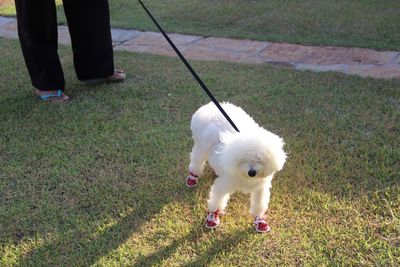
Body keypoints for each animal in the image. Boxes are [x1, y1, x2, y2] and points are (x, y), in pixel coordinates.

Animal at [186, 101, 286, 233]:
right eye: (243, 160)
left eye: (259, 159)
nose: (252, 172)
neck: (246, 177)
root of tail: (209, 106)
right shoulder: (223, 185)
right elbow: (217, 201)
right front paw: (212, 217)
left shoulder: (260, 189)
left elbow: (259, 204)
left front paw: (259, 220)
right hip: (201, 147)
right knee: (196, 161)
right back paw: (192, 177)